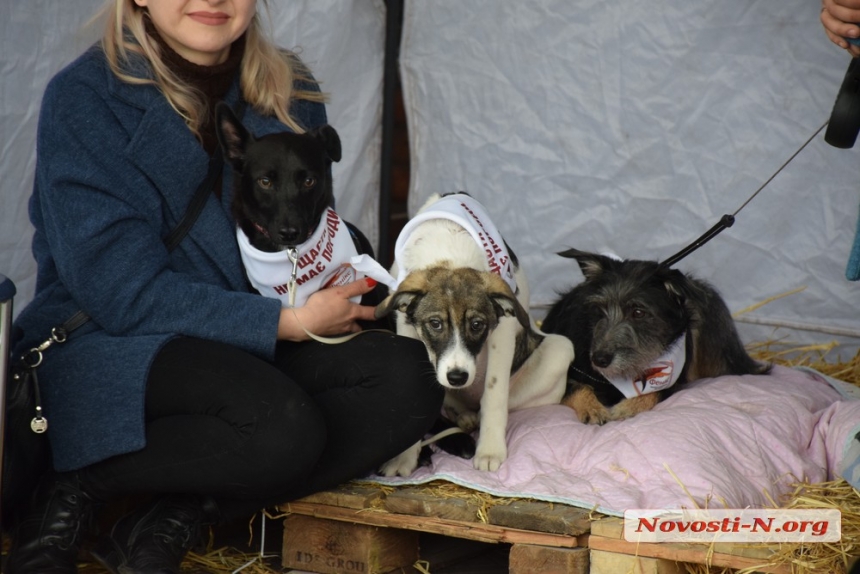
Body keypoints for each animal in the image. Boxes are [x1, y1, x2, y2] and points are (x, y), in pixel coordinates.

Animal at [540, 250, 768, 426]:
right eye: (598, 309)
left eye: (638, 312)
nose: (599, 360)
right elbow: (578, 387)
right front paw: (592, 409)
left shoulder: (673, 381)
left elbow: (655, 392)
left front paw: (628, 407)